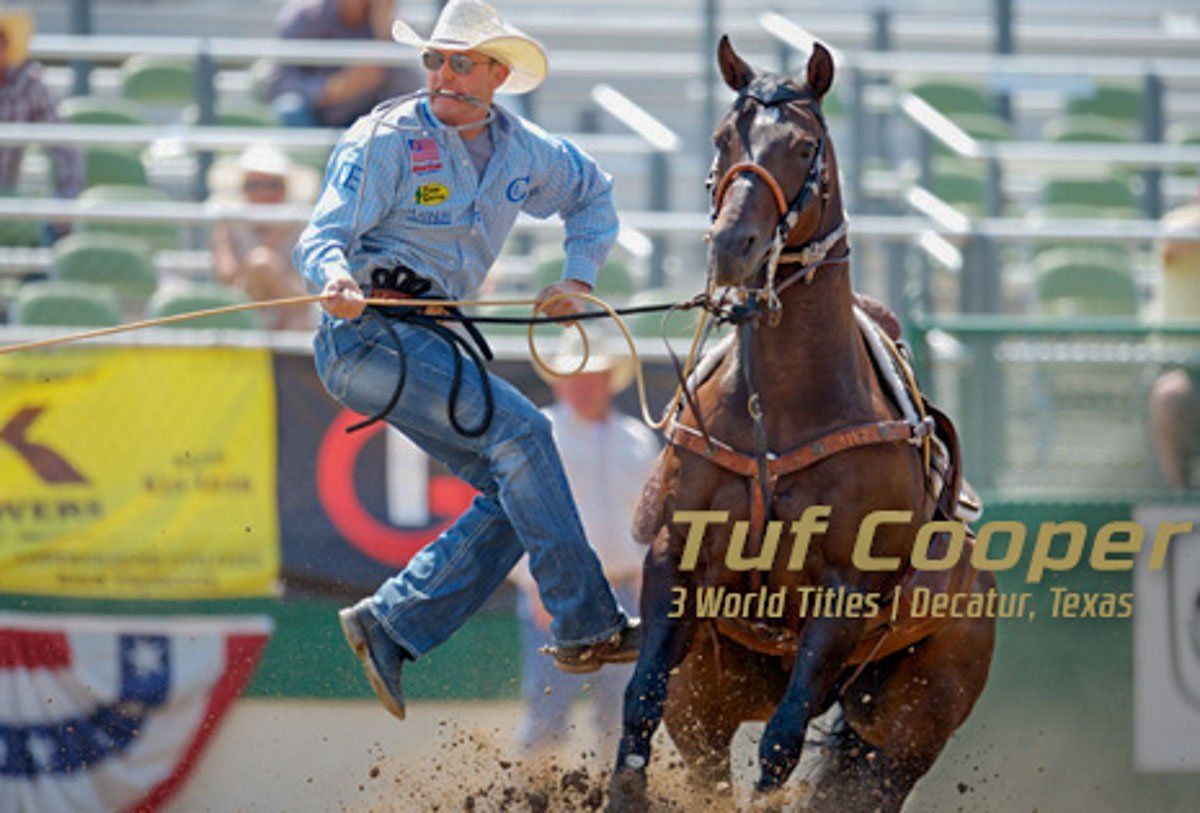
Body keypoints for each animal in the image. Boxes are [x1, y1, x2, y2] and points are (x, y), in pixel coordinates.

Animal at [609, 36, 993, 810]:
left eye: (806, 145)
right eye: (723, 138)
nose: (735, 244)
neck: (778, 414)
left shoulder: (844, 590)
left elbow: (782, 744)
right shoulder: (674, 557)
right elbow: (639, 698)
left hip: (911, 727)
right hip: (711, 695)